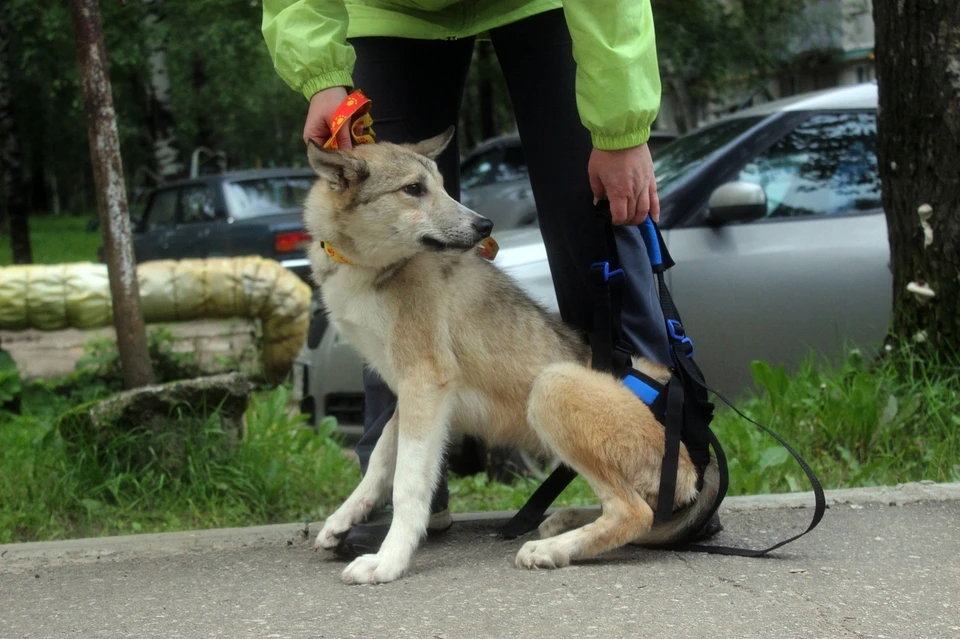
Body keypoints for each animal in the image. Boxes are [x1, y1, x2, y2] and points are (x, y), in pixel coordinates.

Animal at [304, 129, 716, 584]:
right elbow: (381, 457)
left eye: (441, 186)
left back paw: (552, 549)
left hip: (555, 385)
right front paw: (343, 519)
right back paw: (563, 521)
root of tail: (692, 472)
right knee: (639, 511)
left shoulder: (425, 380)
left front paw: (389, 560)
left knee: (634, 513)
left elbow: (408, 482)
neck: (371, 269)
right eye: (413, 189)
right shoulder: (410, 390)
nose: (484, 225)